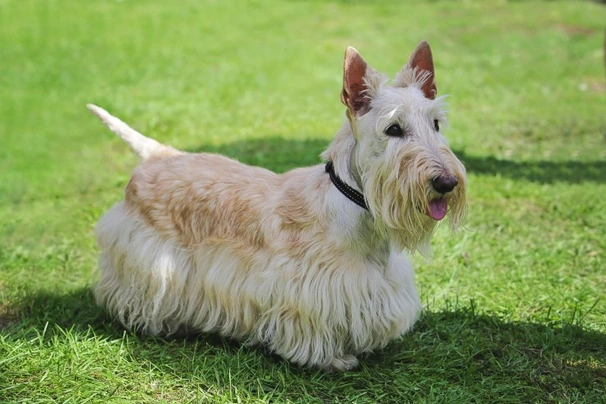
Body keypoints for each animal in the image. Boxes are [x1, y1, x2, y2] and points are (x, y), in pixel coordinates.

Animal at [89, 40, 470, 370]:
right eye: (393, 129)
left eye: (436, 123)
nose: (446, 183)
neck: (357, 211)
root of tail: (158, 155)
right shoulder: (312, 295)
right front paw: (334, 359)